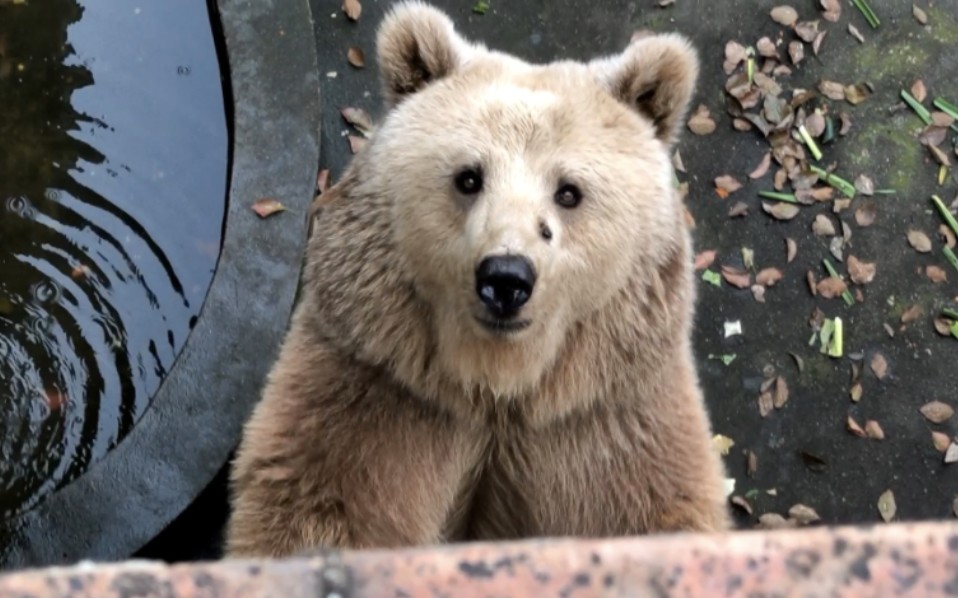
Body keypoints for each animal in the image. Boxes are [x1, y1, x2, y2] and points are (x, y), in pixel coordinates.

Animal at [229, 0, 732, 560]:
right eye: (468, 177)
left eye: (569, 191)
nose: (506, 278)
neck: (500, 384)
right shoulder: (381, 384)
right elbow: (322, 503)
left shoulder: (606, 412)